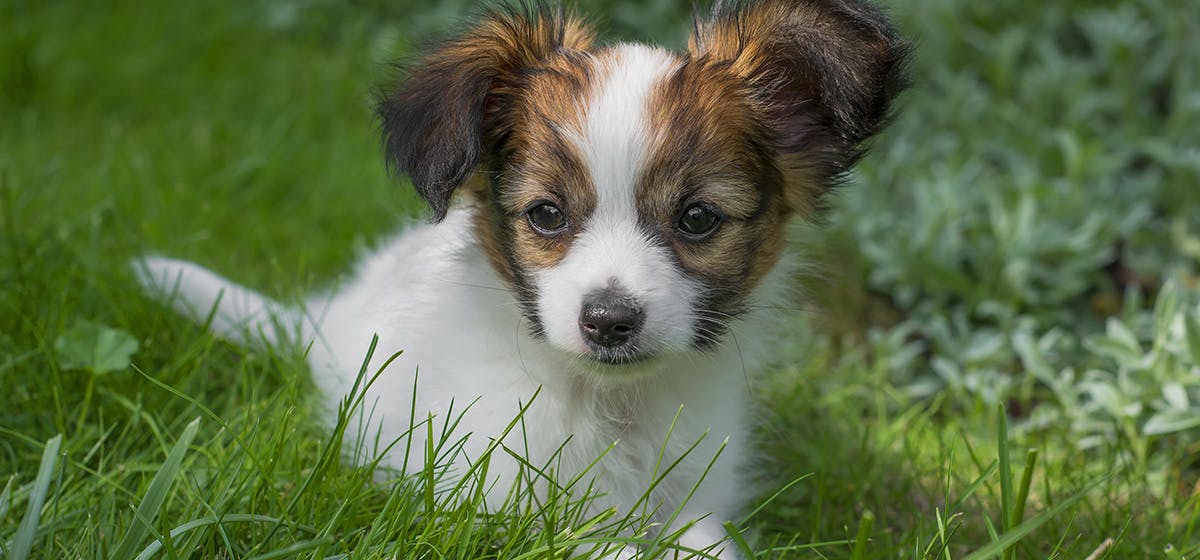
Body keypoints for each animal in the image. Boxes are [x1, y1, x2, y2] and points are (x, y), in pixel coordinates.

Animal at [136, 2, 902, 558]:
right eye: (547, 214)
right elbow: (600, 545)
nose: (609, 321)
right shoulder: (498, 502)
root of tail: (327, 324)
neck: (608, 406)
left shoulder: (695, 496)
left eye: (697, 219)